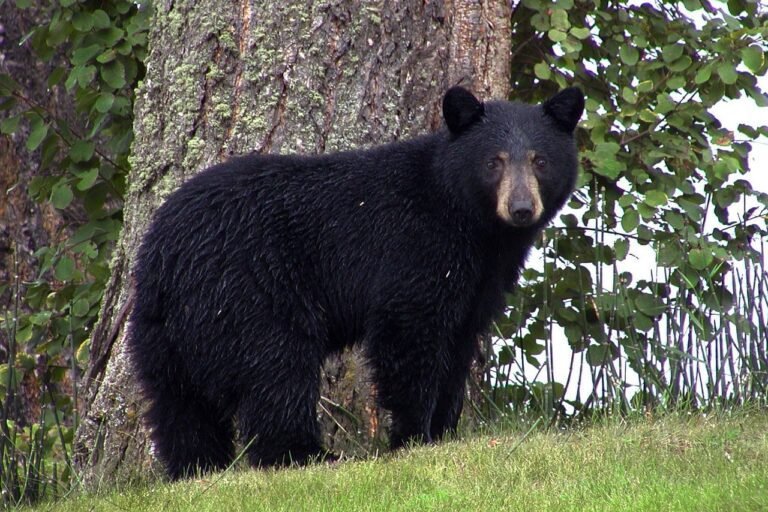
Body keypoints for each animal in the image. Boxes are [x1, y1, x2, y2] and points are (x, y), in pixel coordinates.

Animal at [127, 85, 584, 480]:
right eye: (494, 161)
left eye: (540, 160)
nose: (521, 208)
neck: (471, 223)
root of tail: (164, 255)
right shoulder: (416, 248)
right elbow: (409, 333)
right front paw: (413, 437)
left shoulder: (480, 280)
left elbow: (458, 344)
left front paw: (443, 432)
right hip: (249, 292)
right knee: (276, 370)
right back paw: (307, 455)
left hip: (162, 330)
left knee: (178, 403)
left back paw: (197, 467)